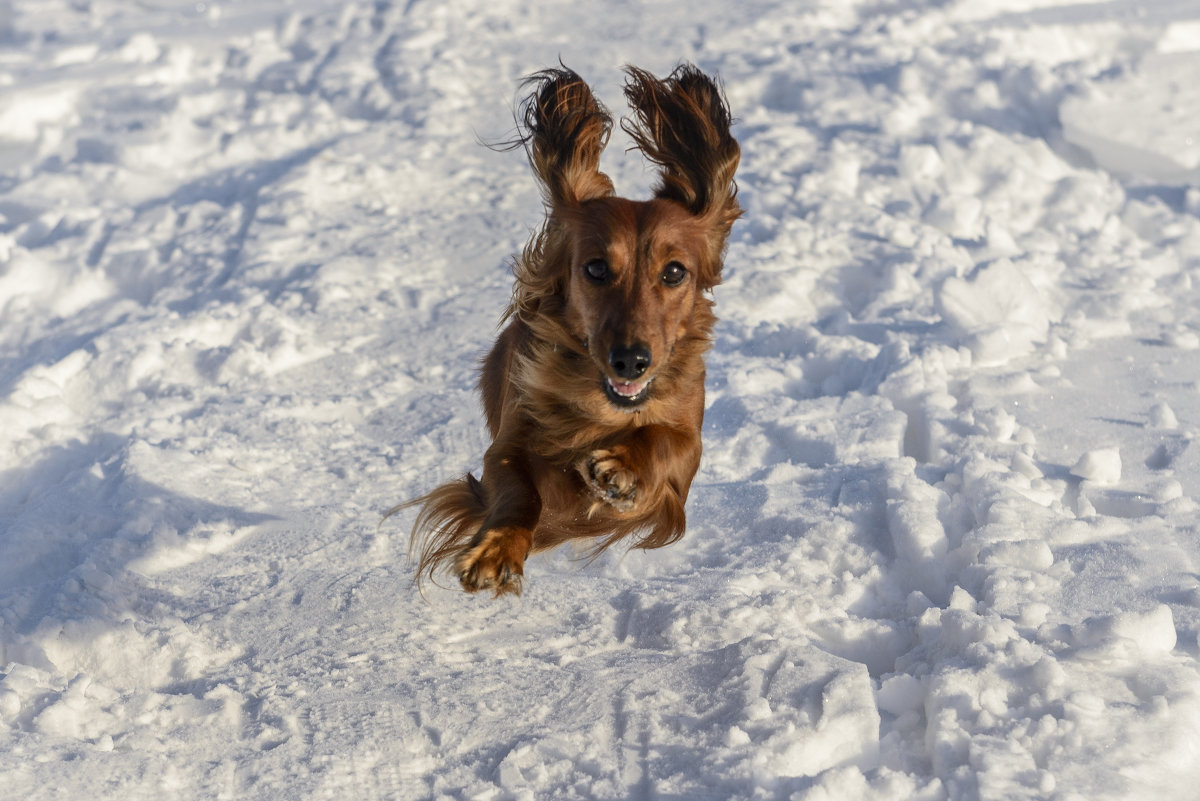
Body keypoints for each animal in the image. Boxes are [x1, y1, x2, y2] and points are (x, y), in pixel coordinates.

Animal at [391, 62, 739, 594]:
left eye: (675, 272)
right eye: (595, 268)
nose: (631, 361)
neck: (602, 409)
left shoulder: (685, 458)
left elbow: (666, 441)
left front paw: (621, 469)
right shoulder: (509, 442)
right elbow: (519, 492)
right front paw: (495, 549)